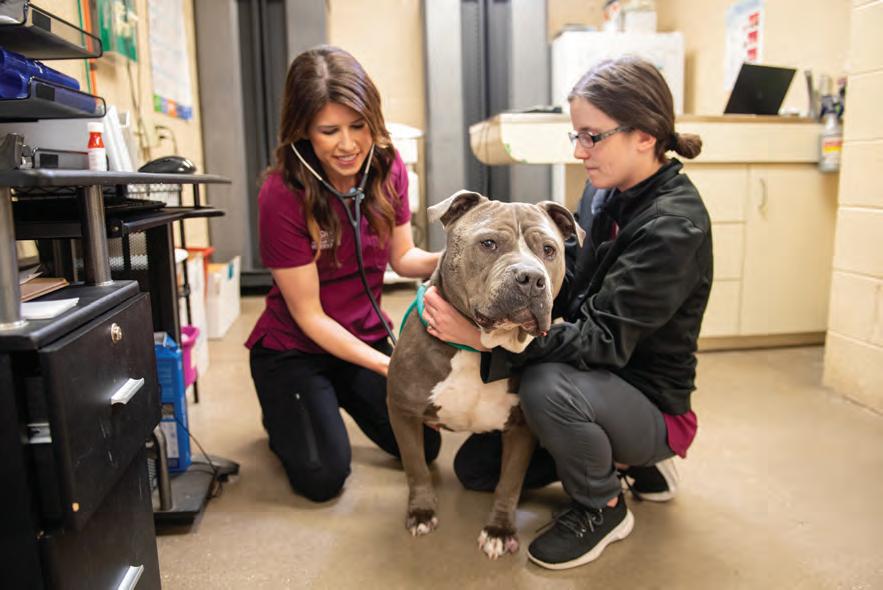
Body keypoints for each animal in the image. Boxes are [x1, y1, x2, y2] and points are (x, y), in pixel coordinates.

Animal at [387, 190, 584, 559]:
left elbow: (509, 483)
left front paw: (498, 530)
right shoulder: (402, 411)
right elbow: (415, 466)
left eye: (548, 250)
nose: (531, 278)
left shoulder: (521, 428)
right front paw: (421, 512)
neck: (479, 349)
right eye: (489, 243)